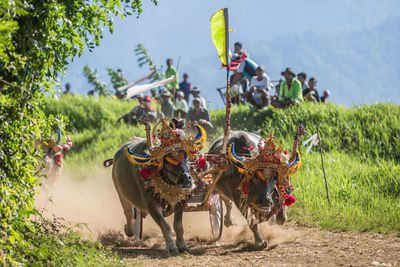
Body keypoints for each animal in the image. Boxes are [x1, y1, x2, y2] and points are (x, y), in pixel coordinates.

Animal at [104, 120, 206, 258]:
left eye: (185, 156)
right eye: (168, 161)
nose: (187, 179)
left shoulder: (181, 201)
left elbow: (178, 225)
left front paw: (182, 245)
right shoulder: (151, 206)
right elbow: (166, 226)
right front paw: (172, 247)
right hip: (121, 193)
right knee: (128, 213)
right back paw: (129, 230)